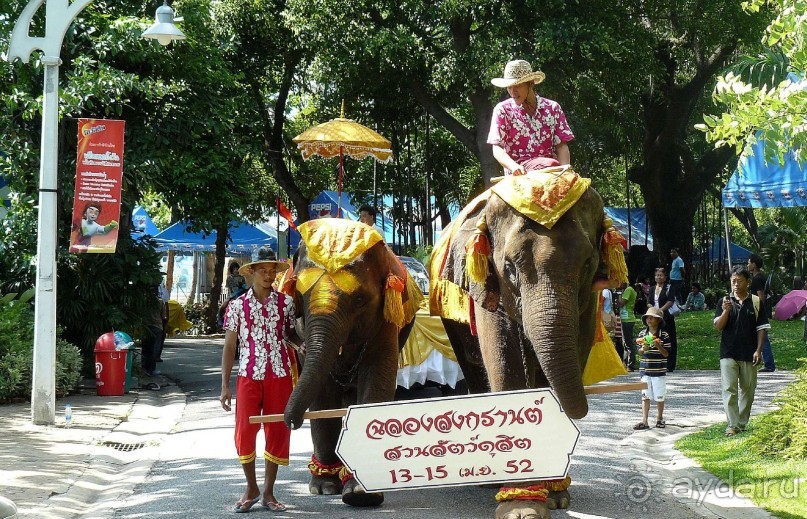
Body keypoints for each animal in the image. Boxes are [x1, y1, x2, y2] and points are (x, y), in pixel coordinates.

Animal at [282, 218, 422, 508]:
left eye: (359, 300)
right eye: (300, 295)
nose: (291, 423)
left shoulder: (386, 321)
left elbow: (378, 380)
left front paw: (362, 494)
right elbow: (323, 395)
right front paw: (324, 487)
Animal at [432, 169, 628, 516]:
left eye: (588, 264)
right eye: (509, 267)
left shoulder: (589, 302)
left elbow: (573, 353)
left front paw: (556, 497)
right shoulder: (489, 291)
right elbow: (505, 366)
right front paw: (520, 508)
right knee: (475, 370)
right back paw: (489, 482)